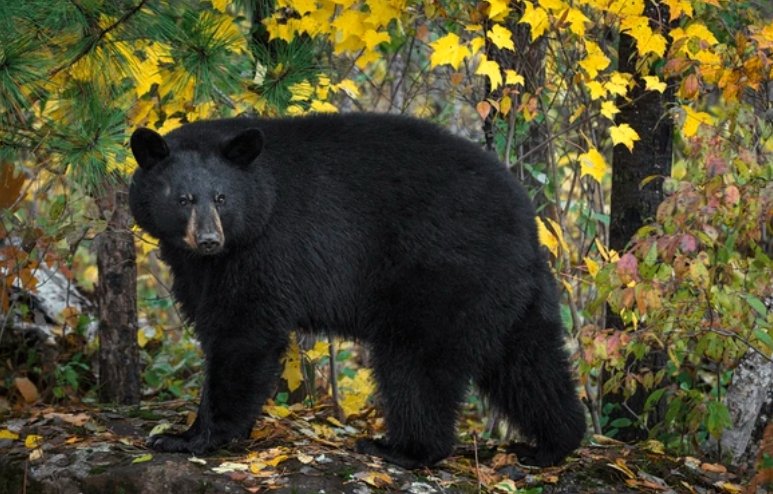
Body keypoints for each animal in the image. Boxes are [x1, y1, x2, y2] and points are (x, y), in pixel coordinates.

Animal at [128, 113, 586, 469]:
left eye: (222, 198)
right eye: (183, 198)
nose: (209, 239)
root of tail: (527, 222)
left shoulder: (265, 250)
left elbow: (242, 335)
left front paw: (189, 437)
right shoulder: (199, 266)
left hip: (442, 276)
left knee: (415, 365)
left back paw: (403, 449)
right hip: (512, 294)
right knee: (528, 362)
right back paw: (551, 445)